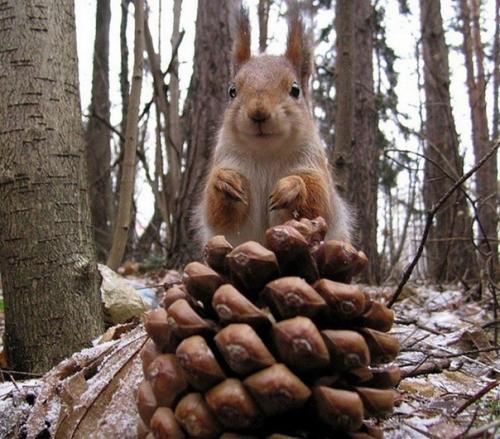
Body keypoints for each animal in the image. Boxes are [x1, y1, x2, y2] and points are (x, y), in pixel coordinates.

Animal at [196, 6, 352, 249]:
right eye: (232, 91)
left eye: (295, 90)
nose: (258, 112)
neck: (266, 153)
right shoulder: (226, 158)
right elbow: (216, 214)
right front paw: (225, 181)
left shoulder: (313, 164)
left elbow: (320, 203)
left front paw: (292, 187)